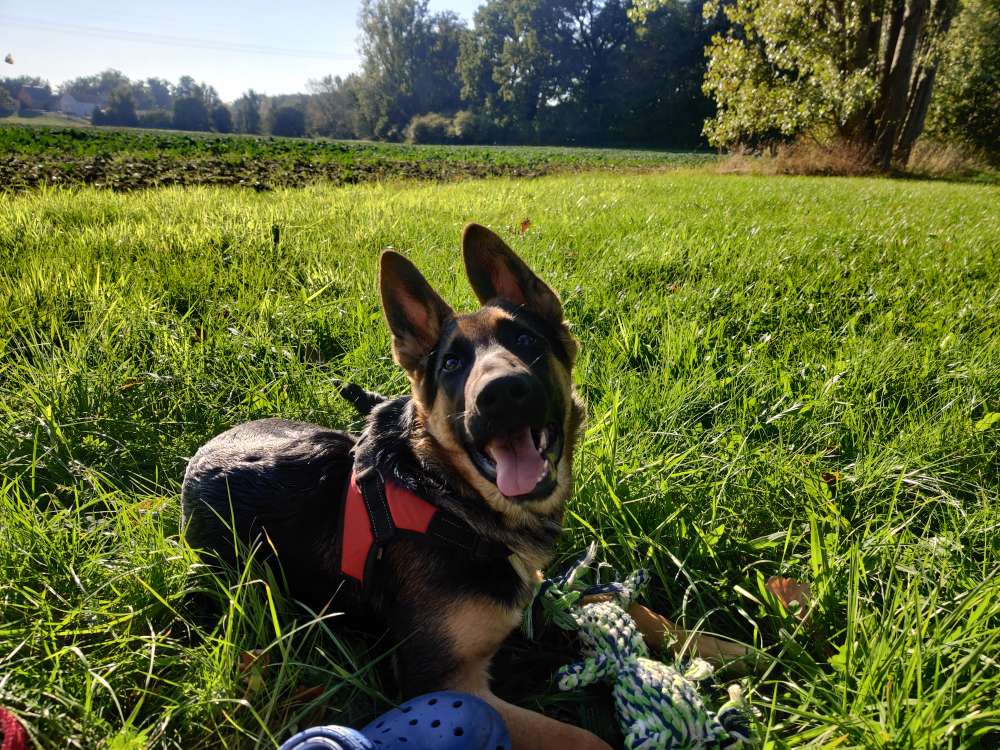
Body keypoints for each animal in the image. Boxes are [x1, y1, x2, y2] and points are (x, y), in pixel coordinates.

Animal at [184, 225, 612, 750]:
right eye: (451, 364)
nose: (502, 393)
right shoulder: (446, 681)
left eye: (526, 339)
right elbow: (583, 738)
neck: (447, 499)